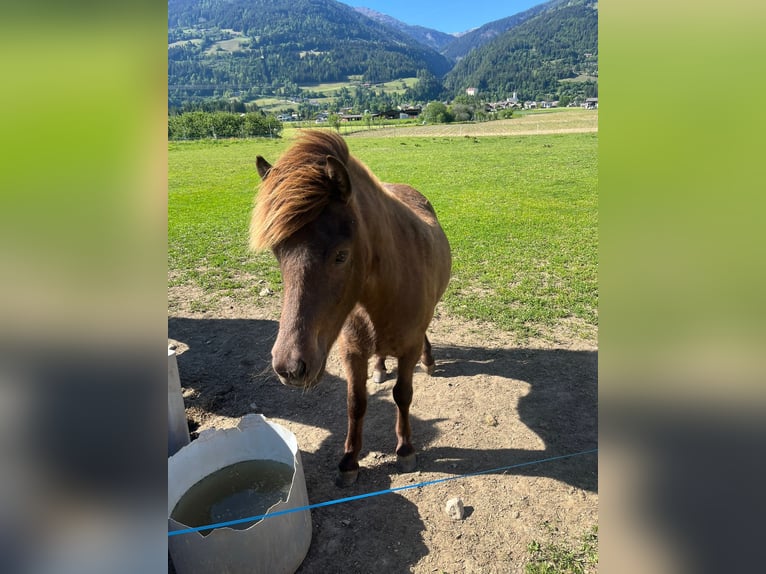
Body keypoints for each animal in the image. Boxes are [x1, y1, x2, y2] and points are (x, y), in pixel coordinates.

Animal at [249, 130, 451, 486]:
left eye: (341, 255)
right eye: (277, 253)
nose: (290, 367)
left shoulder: (408, 349)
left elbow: (403, 394)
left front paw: (405, 449)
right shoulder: (351, 352)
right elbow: (355, 404)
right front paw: (349, 461)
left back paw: (428, 361)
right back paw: (380, 368)